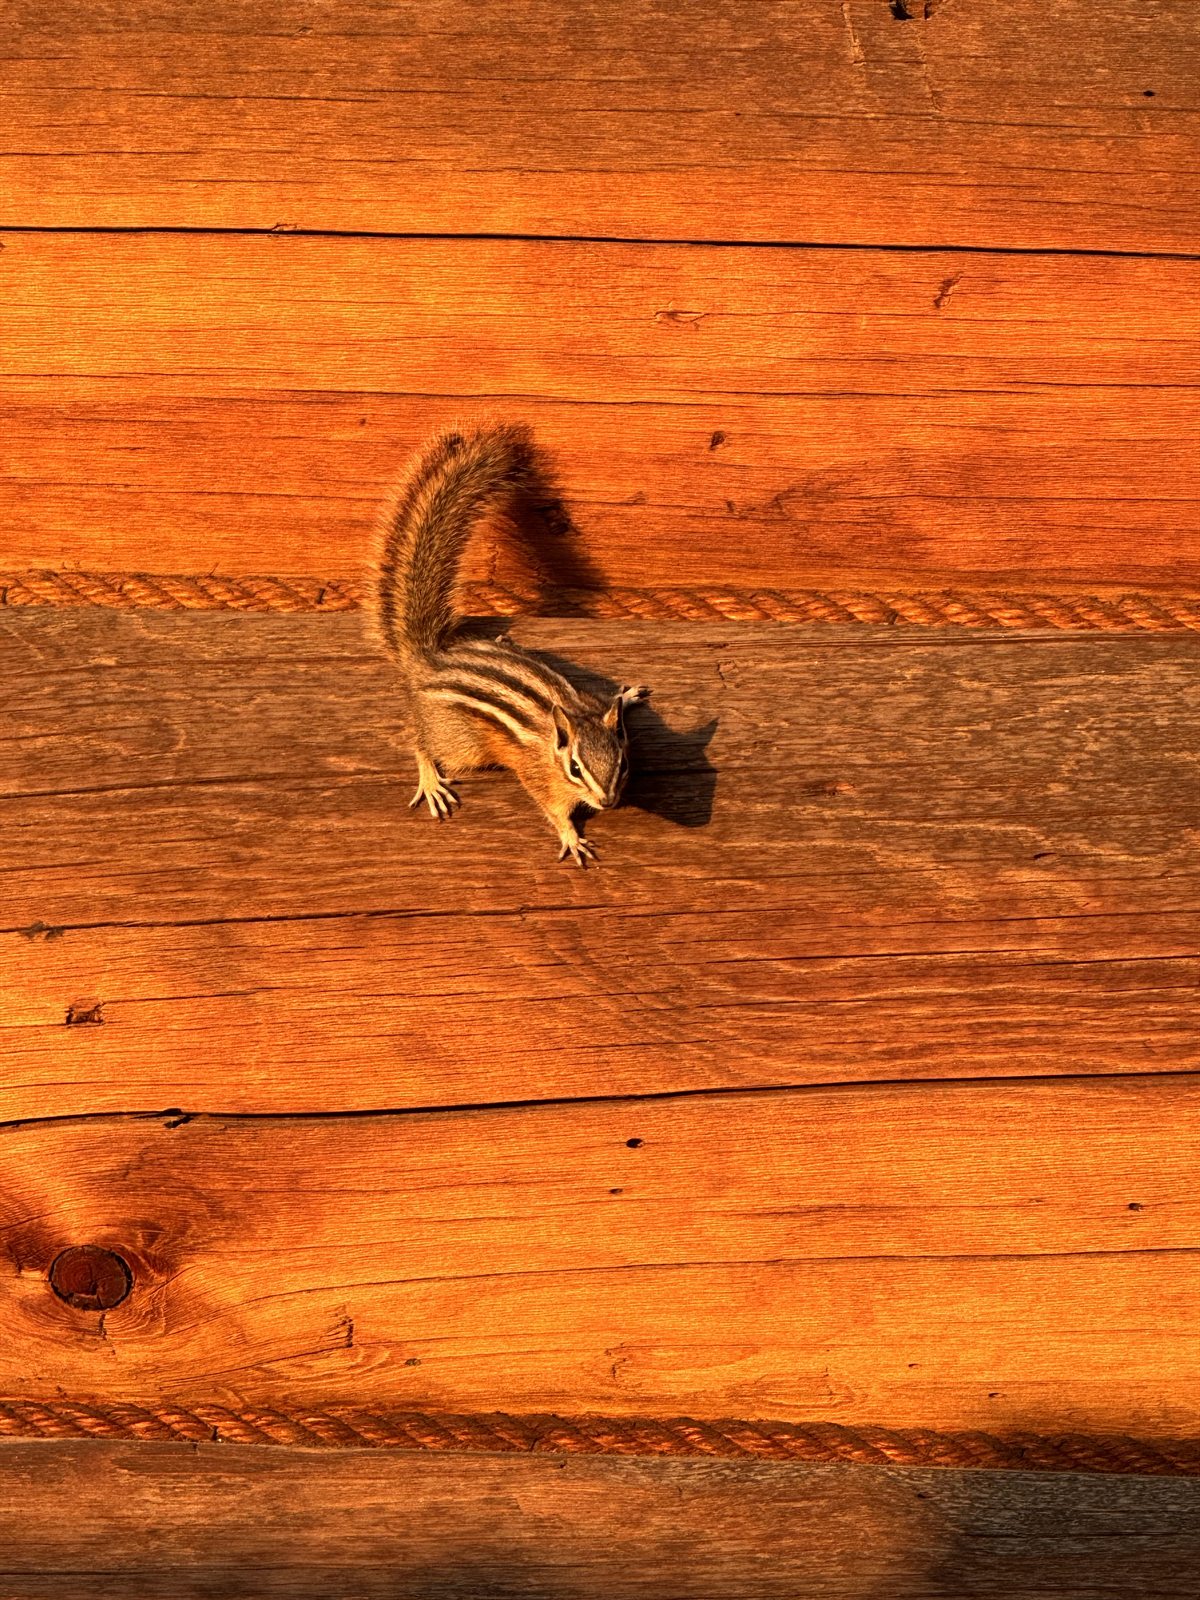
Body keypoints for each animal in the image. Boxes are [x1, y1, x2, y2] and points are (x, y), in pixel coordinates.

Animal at [373, 423, 650, 866]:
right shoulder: (539, 778)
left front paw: (625, 697)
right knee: (420, 742)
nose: (608, 802)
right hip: (462, 743)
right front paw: (572, 837)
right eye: (575, 769)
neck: (567, 726)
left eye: (623, 762)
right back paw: (431, 781)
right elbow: (553, 810)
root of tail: (430, 660)